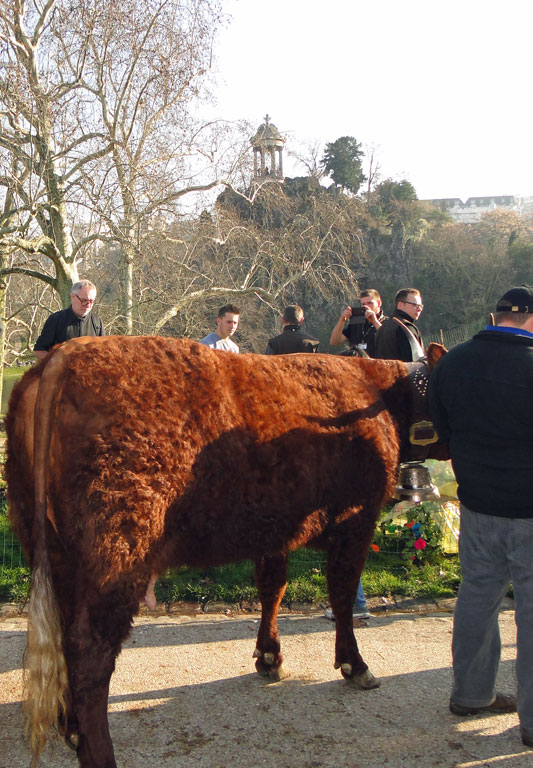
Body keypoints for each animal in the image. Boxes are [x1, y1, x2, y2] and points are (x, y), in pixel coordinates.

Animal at [5, 338, 444, 768]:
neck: (374, 387)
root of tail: (65, 354)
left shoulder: (274, 530)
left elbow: (272, 590)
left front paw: (268, 657)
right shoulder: (356, 522)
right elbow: (341, 596)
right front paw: (355, 665)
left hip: (54, 549)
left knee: (65, 633)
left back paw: (70, 726)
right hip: (117, 552)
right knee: (89, 649)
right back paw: (99, 752)